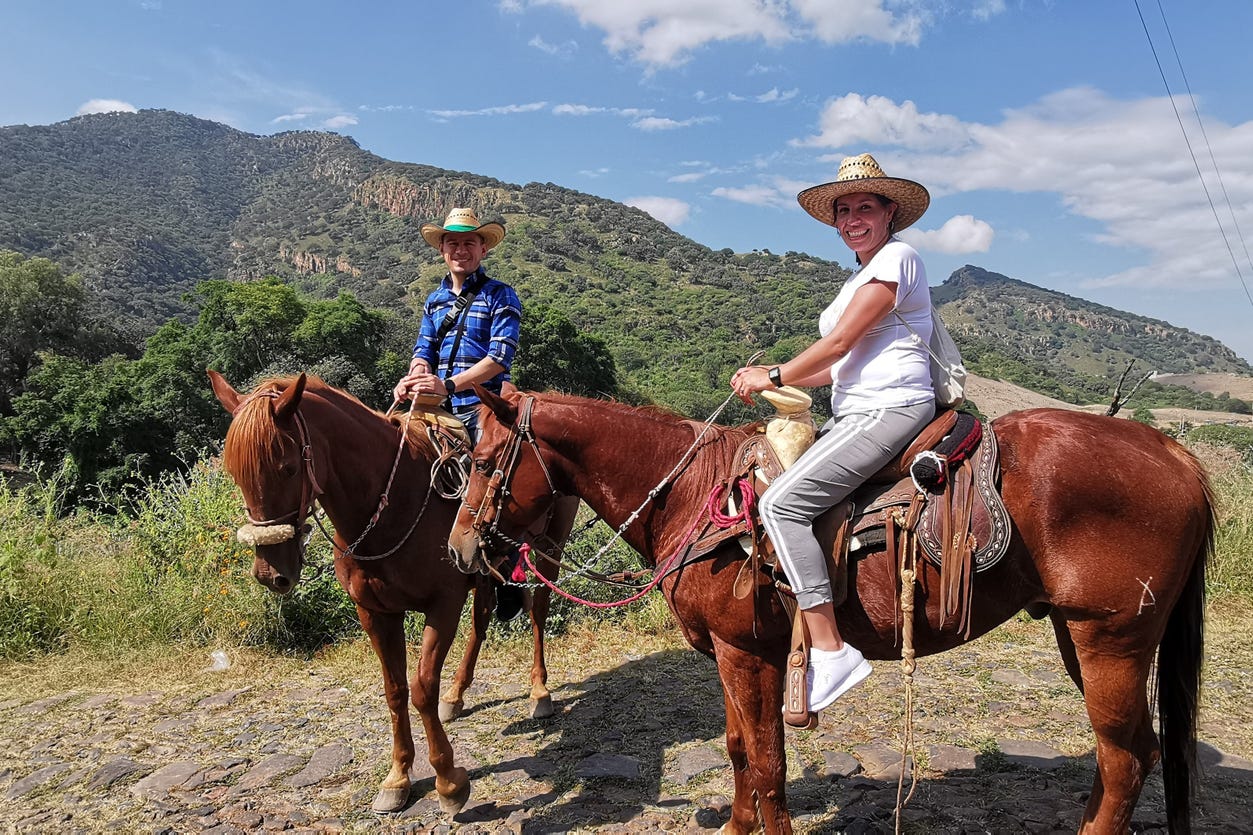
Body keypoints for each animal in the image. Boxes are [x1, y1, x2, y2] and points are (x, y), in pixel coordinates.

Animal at [209, 371, 568, 812]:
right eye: (235, 474)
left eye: (288, 467)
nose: (270, 573)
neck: (391, 506)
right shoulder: (375, 613)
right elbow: (395, 691)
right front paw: (398, 777)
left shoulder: (442, 605)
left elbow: (422, 688)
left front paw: (448, 781)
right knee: (482, 621)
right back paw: (457, 693)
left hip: (550, 548)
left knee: (538, 613)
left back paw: (539, 691)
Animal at [448, 388, 1212, 832]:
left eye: (483, 462)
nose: (458, 549)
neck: (694, 495)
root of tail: (1175, 452)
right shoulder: (736, 654)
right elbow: (740, 753)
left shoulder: (746, 653)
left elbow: (765, 763)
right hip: (1081, 636)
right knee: (1133, 754)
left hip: (1109, 639)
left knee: (1124, 760)